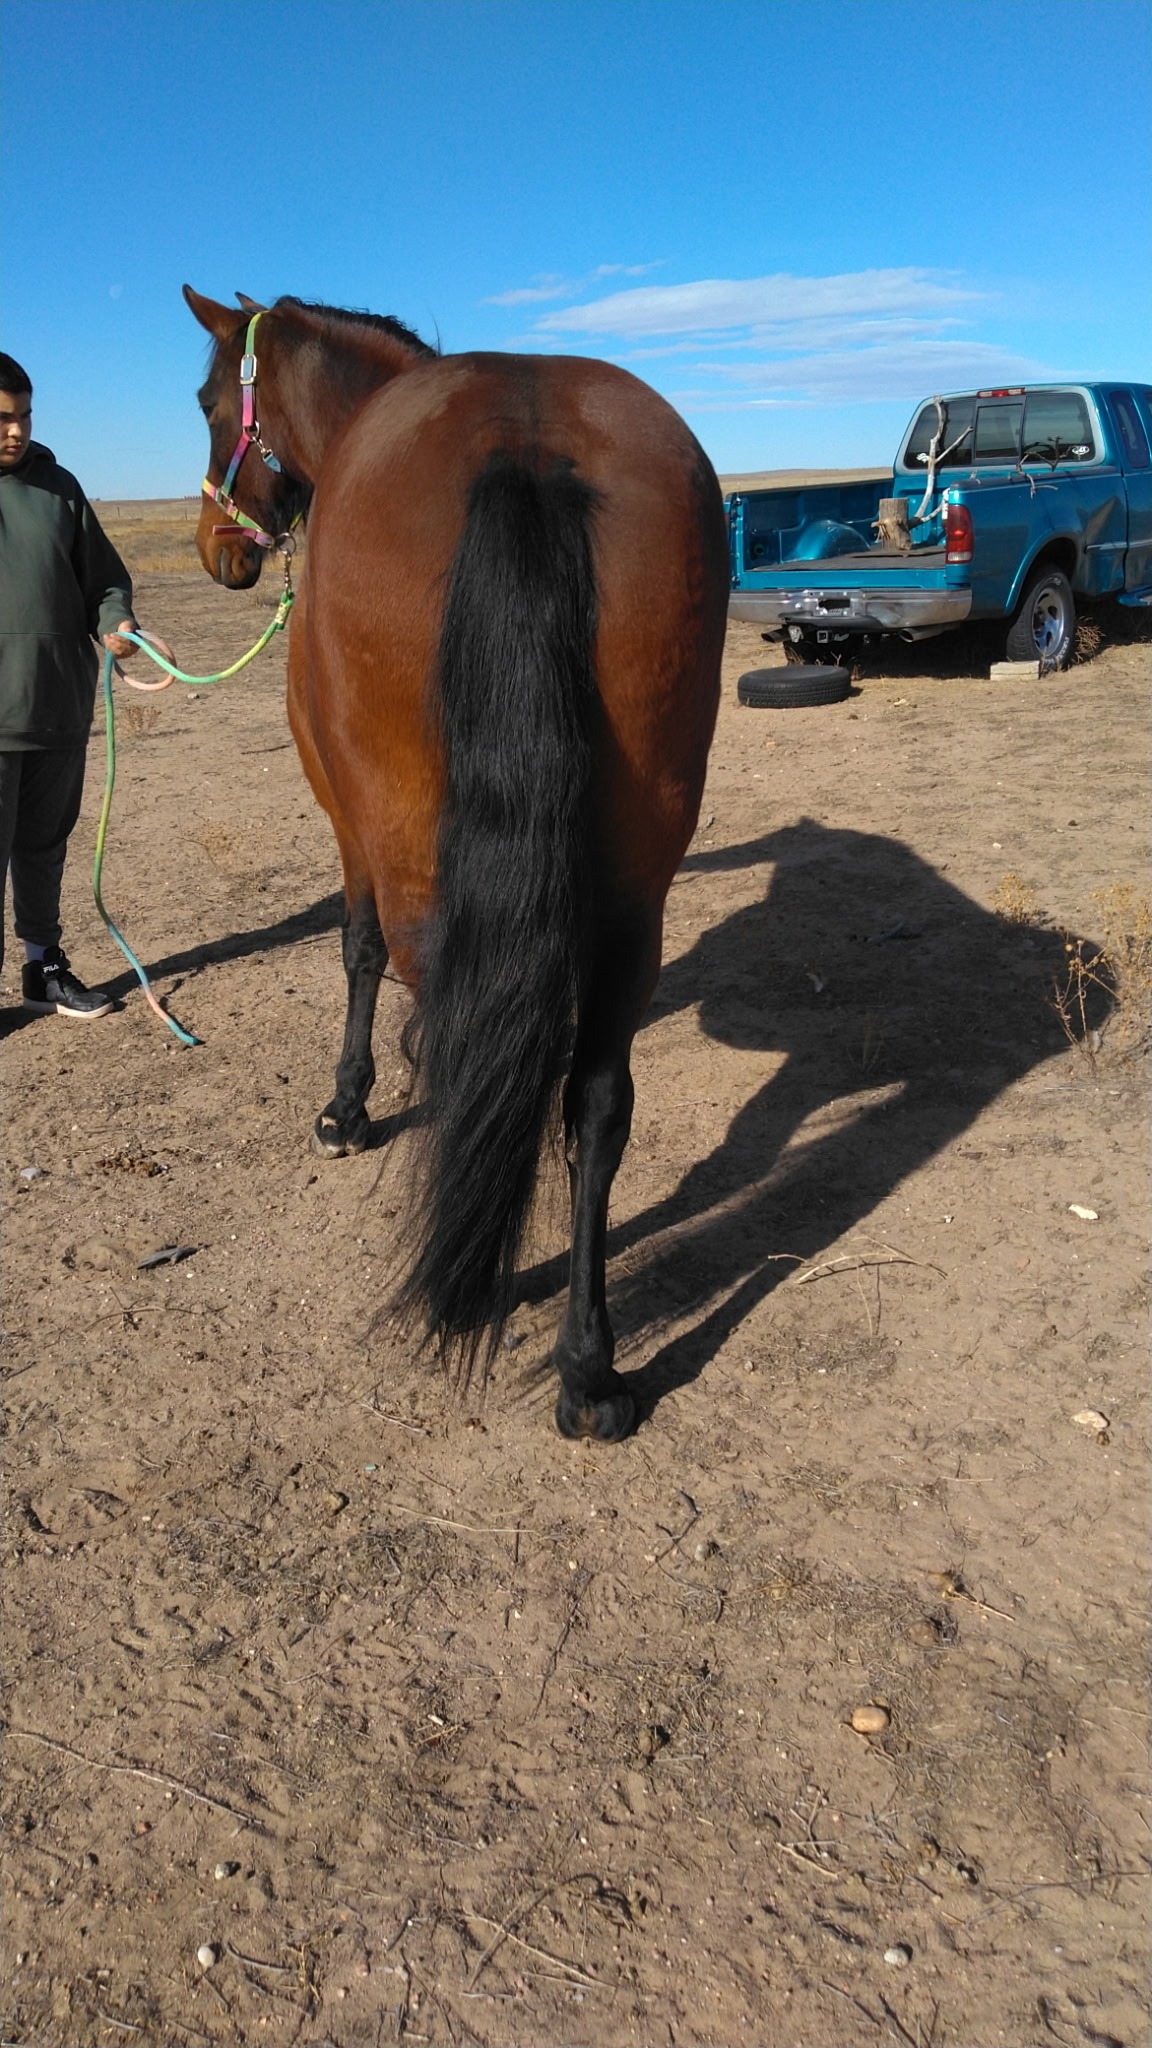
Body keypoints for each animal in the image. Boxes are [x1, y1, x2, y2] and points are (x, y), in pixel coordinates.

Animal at [183, 286, 728, 1440]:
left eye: (209, 401)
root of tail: (526, 445)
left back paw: (468, 1280)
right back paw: (588, 1367)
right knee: (595, 1099)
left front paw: (346, 1108)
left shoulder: (349, 827)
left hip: (421, 866)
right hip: (635, 898)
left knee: (468, 1044)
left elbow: (352, 953)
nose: (218, 548)